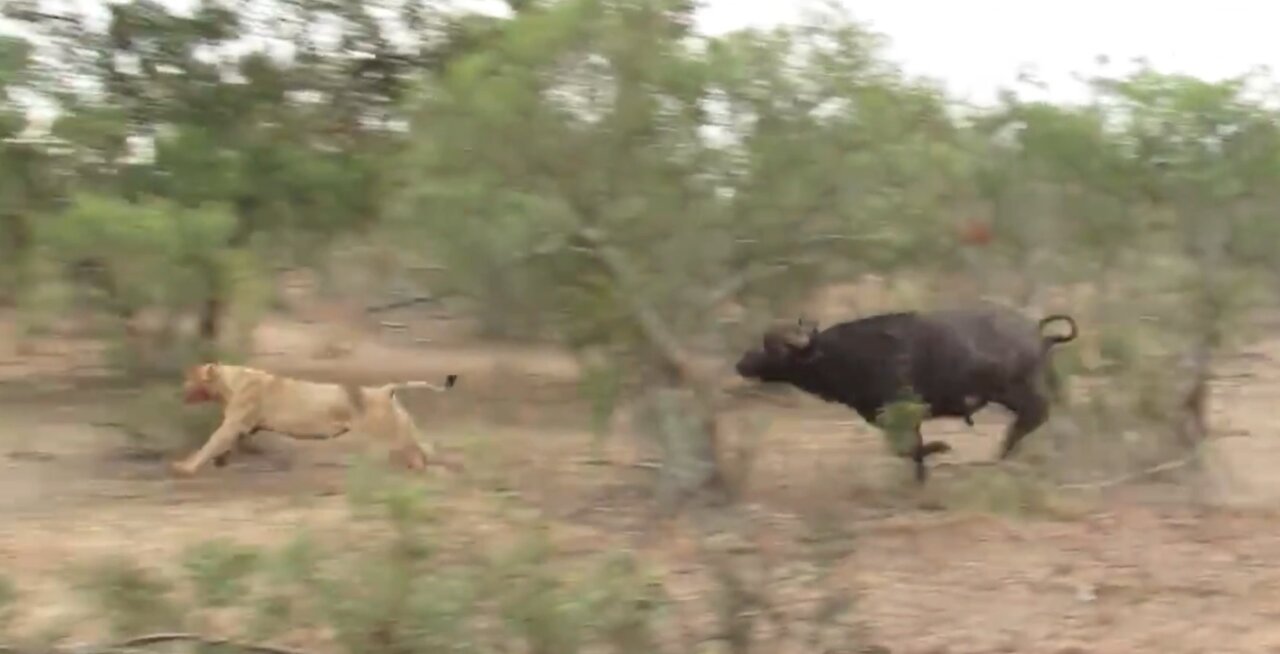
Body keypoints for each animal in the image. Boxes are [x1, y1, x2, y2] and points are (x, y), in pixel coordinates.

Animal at [172, 363, 458, 476]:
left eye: (191, 376)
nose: (180, 388)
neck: (228, 381)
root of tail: (385, 389)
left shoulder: (234, 423)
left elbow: (210, 442)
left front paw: (185, 467)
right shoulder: (243, 427)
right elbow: (223, 446)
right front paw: (220, 462)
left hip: (389, 434)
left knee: (418, 454)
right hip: (403, 427)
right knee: (426, 449)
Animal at [732, 305, 1080, 481]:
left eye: (775, 349)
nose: (742, 362)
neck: (845, 354)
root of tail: (1037, 331)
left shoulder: (900, 413)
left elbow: (909, 448)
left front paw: (940, 449)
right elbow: (911, 450)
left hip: (1016, 390)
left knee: (1034, 415)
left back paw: (1000, 453)